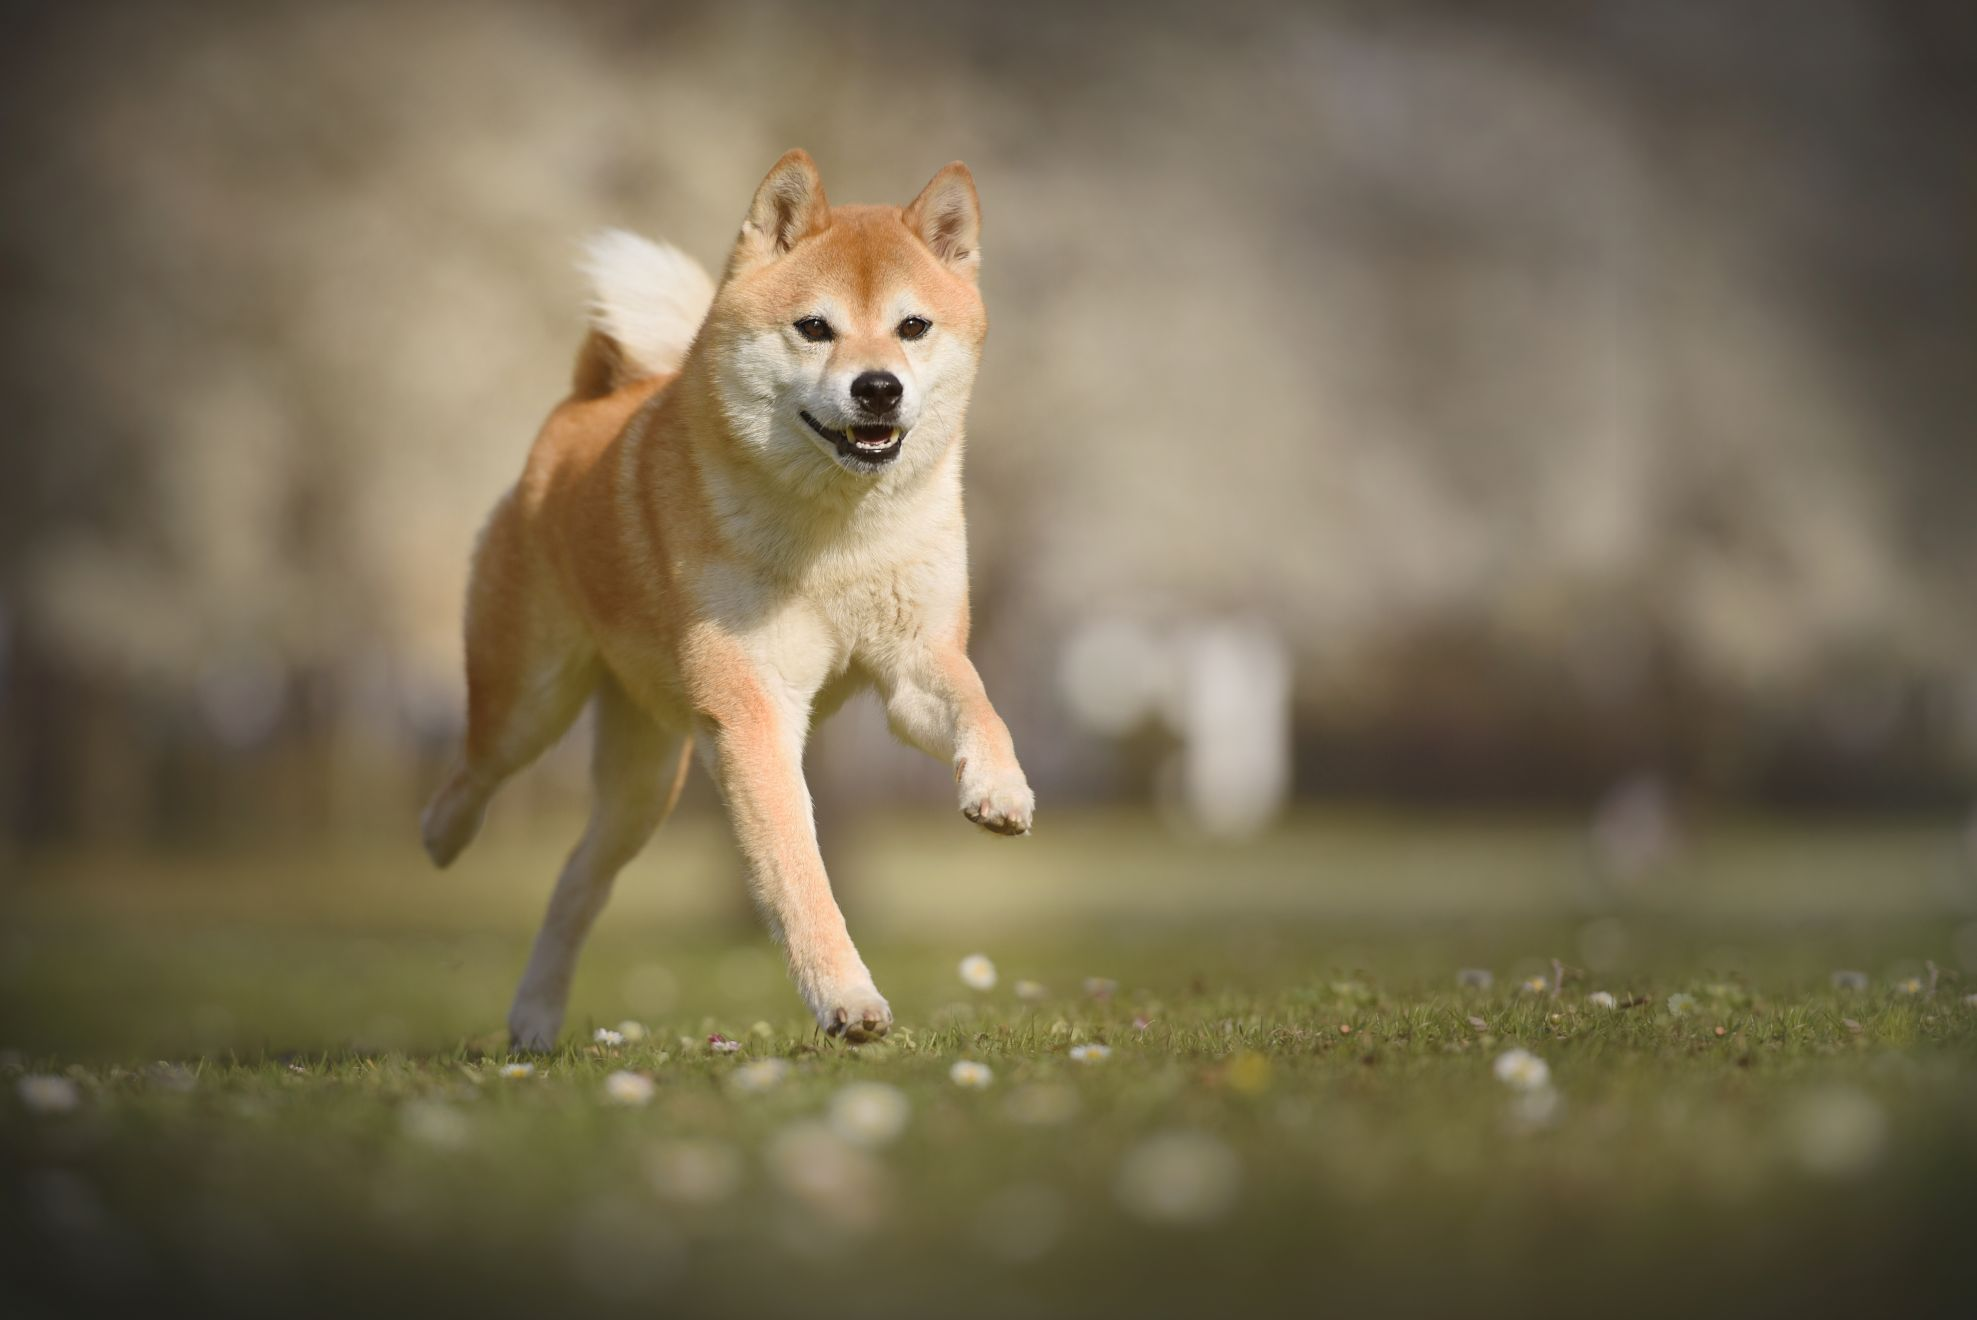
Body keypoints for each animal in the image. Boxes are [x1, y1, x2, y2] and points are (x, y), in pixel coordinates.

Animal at [417, 149, 1035, 1043]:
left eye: (913, 327)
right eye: (814, 328)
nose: (878, 388)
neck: (836, 536)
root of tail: (583, 406)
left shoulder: (916, 661)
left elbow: (978, 705)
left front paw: (1000, 787)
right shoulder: (753, 709)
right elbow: (797, 871)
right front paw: (845, 997)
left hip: (644, 782)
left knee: (578, 878)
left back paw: (534, 1017)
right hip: (530, 699)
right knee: (476, 765)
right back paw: (441, 835)